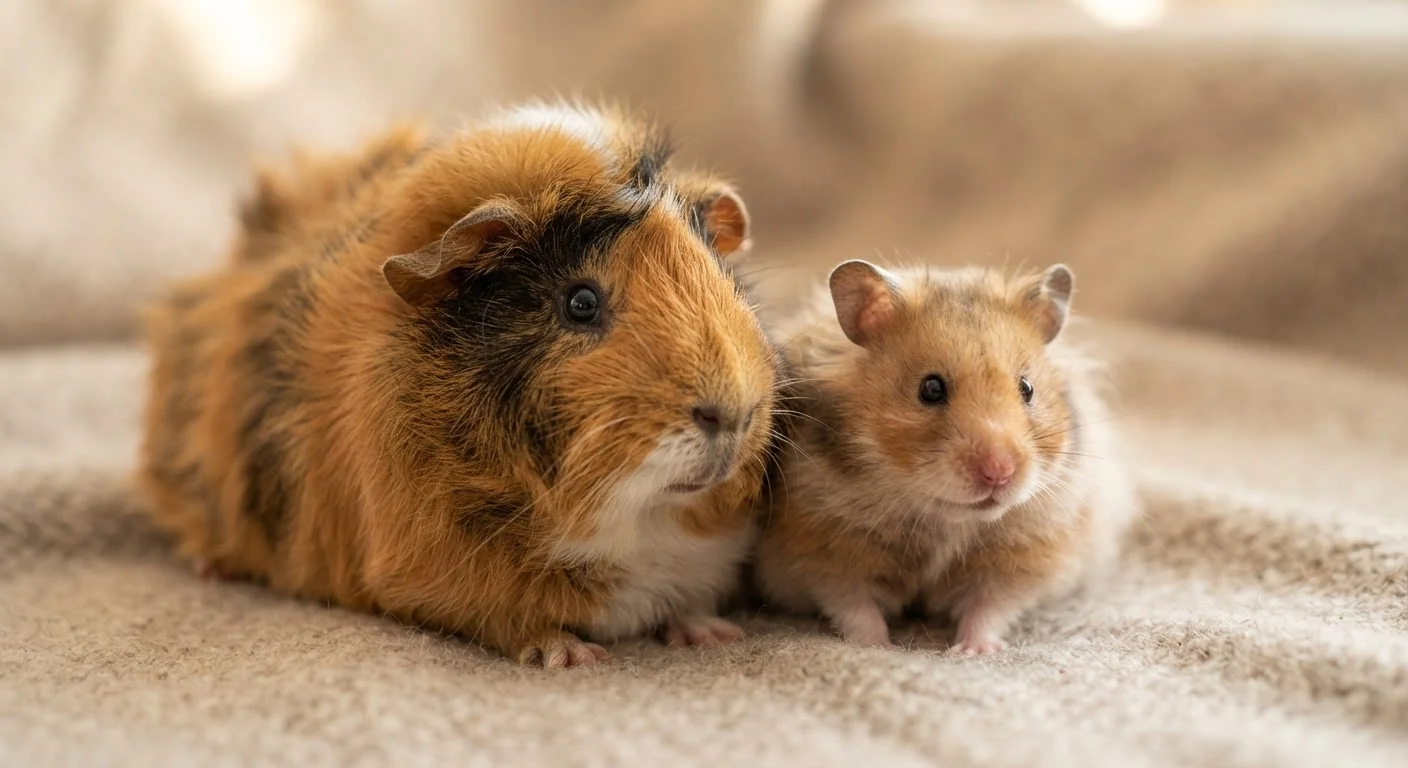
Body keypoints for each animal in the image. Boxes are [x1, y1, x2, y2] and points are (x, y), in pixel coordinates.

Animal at [139, 103, 780, 668]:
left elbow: (688, 597)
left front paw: (714, 635)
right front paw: (572, 657)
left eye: (720, 276)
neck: (634, 521)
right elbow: (513, 620)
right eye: (580, 303)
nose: (731, 413)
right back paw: (211, 567)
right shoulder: (440, 576)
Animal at [754, 260, 1135, 653]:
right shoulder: (824, 549)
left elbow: (990, 608)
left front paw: (975, 651)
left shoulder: (1022, 557)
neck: (943, 519)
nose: (999, 473)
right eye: (931, 388)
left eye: (1027, 388)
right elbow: (854, 607)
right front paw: (878, 648)